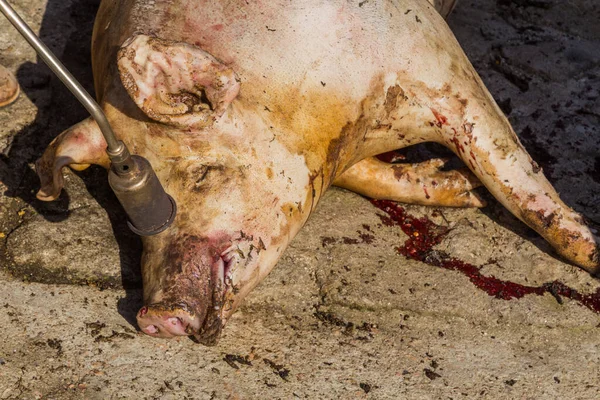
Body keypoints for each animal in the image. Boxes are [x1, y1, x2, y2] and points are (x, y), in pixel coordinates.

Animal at [35, 0, 596, 344]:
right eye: (131, 212)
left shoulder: (436, 58)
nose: (154, 318)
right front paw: (463, 188)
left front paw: (591, 252)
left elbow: (510, 173)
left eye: (204, 174)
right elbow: (373, 176)